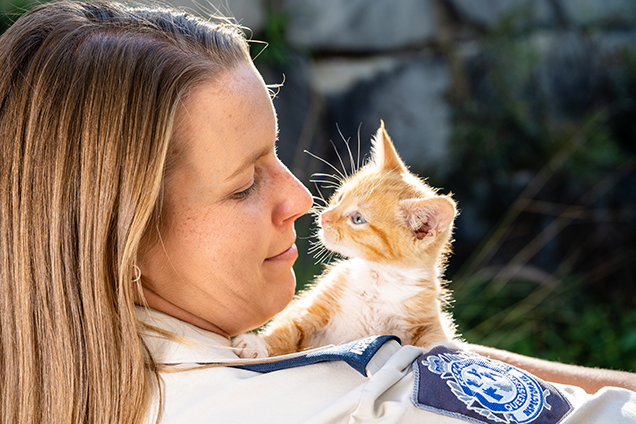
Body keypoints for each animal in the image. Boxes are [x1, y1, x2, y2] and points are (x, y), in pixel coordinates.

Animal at [232, 122, 458, 358]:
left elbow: (436, 340)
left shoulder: (425, 316)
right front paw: (258, 344)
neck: (378, 278)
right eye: (340, 197)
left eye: (358, 219)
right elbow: (289, 327)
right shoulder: (317, 303)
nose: (324, 217)